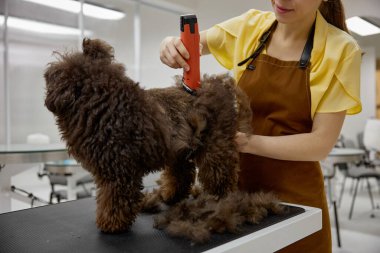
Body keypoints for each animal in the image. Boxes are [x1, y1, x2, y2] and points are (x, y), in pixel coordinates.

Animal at [44, 38, 252, 234]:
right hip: (179, 152)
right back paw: (171, 196)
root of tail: (218, 85)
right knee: (182, 174)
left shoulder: (119, 171)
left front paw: (111, 224)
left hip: (215, 147)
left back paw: (220, 198)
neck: (104, 103)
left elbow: (114, 199)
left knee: (220, 173)